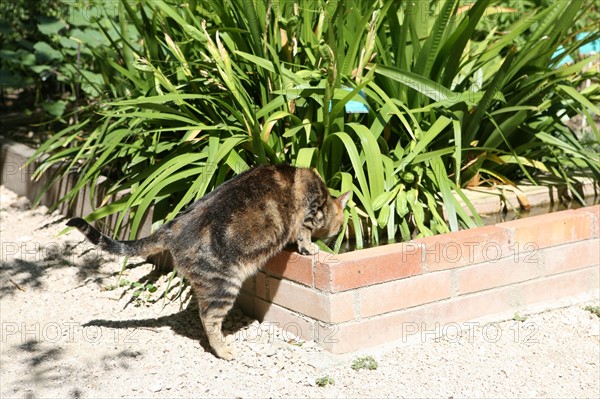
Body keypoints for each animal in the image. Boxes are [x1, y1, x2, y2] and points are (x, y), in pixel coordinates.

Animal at [67, 164, 350, 360]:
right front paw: (310, 247)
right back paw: (224, 350)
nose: (339, 232)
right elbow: (304, 233)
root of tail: (170, 228)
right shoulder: (311, 211)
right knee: (208, 319)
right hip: (224, 284)